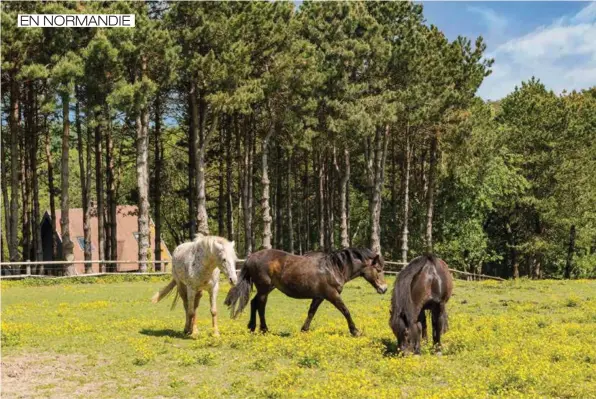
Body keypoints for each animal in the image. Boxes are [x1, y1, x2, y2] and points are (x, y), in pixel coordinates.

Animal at [224, 248, 386, 336]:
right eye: (378, 269)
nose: (384, 289)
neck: (333, 269)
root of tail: (251, 257)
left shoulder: (319, 297)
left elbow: (311, 312)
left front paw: (304, 329)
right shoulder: (332, 295)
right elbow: (345, 311)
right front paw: (355, 331)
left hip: (267, 289)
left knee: (254, 303)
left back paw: (252, 327)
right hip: (264, 289)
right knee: (260, 306)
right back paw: (264, 329)